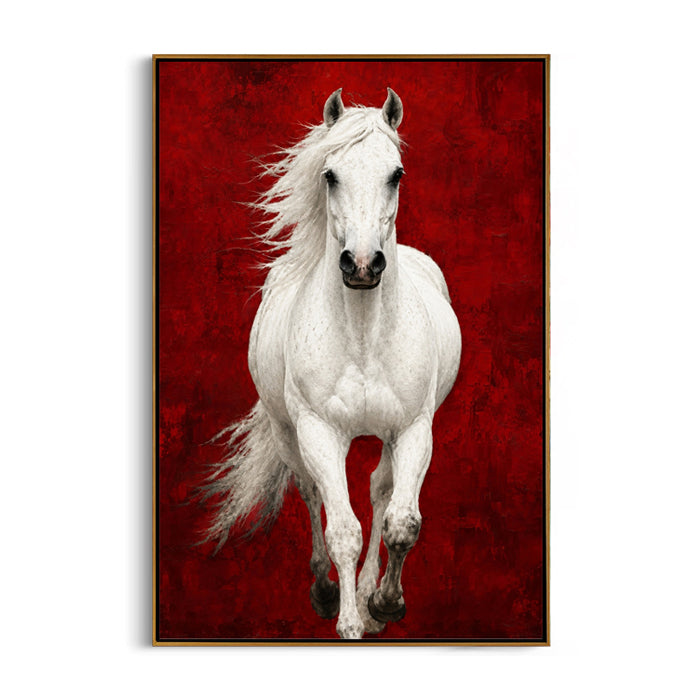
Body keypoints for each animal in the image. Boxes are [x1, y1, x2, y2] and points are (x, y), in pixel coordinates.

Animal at [204, 88, 462, 639]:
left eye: (396, 174)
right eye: (330, 174)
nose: (362, 265)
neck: (363, 336)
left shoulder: (414, 429)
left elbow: (401, 523)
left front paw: (383, 604)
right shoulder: (319, 433)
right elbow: (342, 529)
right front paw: (347, 622)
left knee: (380, 490)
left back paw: (366, 593)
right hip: (288, 432)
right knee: (308, 492)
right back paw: (325, 590)